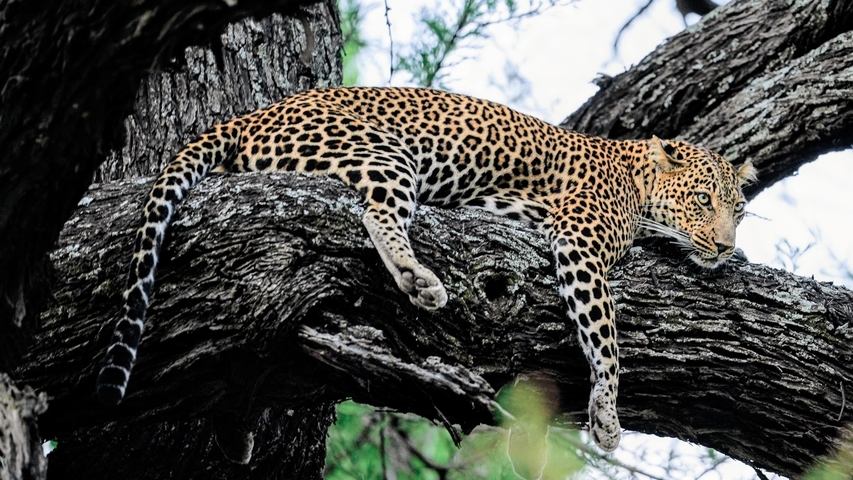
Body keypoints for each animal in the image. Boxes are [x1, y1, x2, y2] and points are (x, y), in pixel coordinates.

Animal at [96, 86, 756, 452]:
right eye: (703, 200)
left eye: (739, 210)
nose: (725, 245)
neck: (636, 178)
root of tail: (248, 116)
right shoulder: (579, 242)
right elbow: (606, 336)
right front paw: (608, 413)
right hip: (380, 150)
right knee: (374, 212)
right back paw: (420, 279)